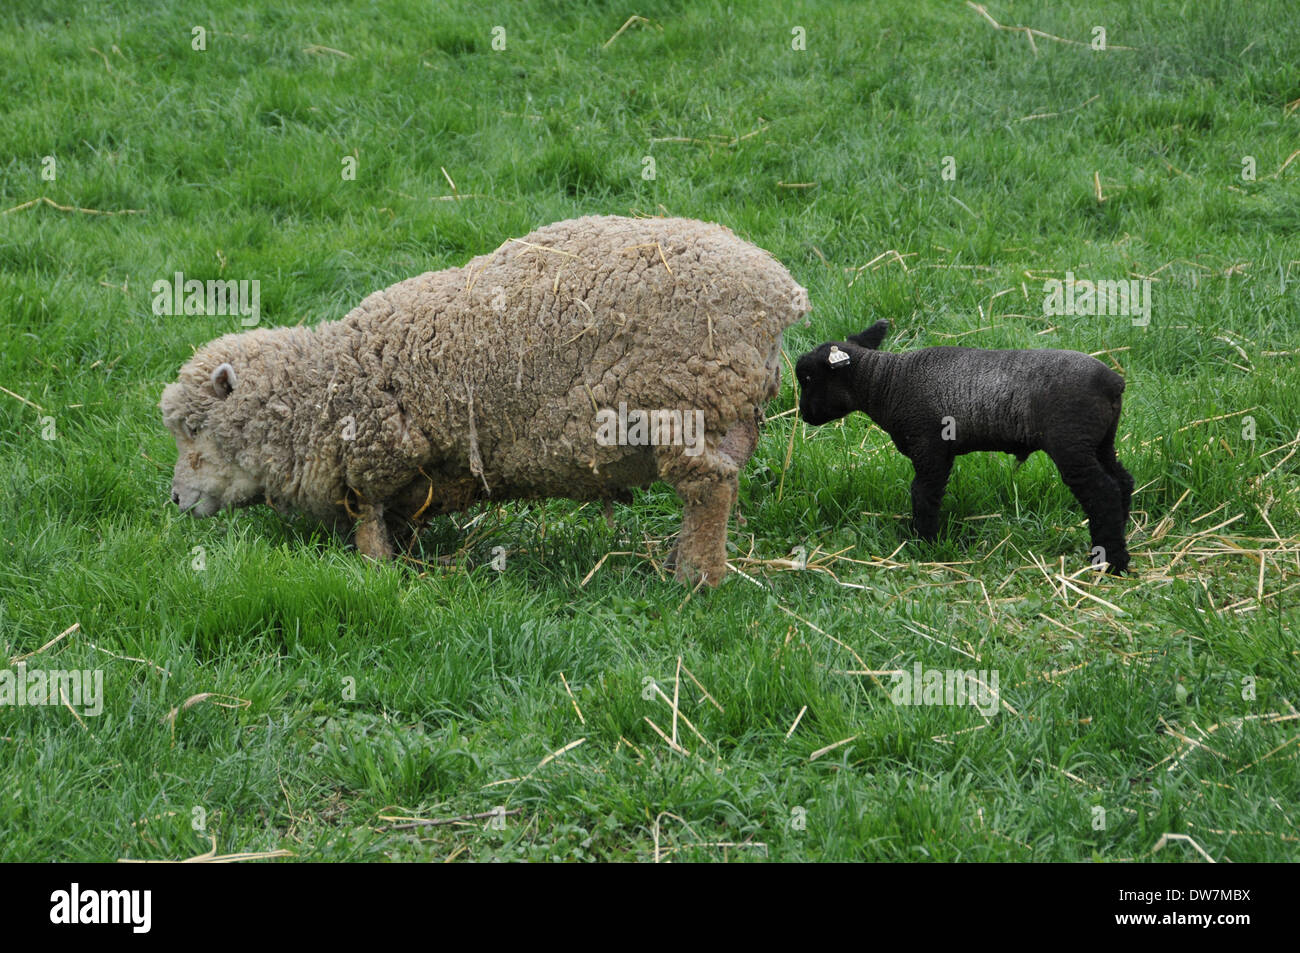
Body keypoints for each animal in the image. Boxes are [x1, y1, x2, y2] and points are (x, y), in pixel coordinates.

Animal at [160, 215, 810, 586]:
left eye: (194, 430)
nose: (174, 500)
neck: (326, 387)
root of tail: (778, 293)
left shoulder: (377, 457)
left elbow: (369, 522)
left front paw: (376, 572)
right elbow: (397, 517)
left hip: (680, 404)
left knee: (710, 490)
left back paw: (697, 579)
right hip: (726, 413)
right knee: (720, 485)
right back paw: (682, 562)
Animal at [794, 320, 1133, 573]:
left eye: (808, 378)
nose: (803, 414)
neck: (886, 384)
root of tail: (1113, 382)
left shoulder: (929, 448)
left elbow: (923, 494)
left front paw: (924, 543)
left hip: (1072, 444)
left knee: (1102, 492)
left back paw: (1110, 563)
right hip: (1101, 441)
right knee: (1122, 481)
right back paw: (1122, 534)